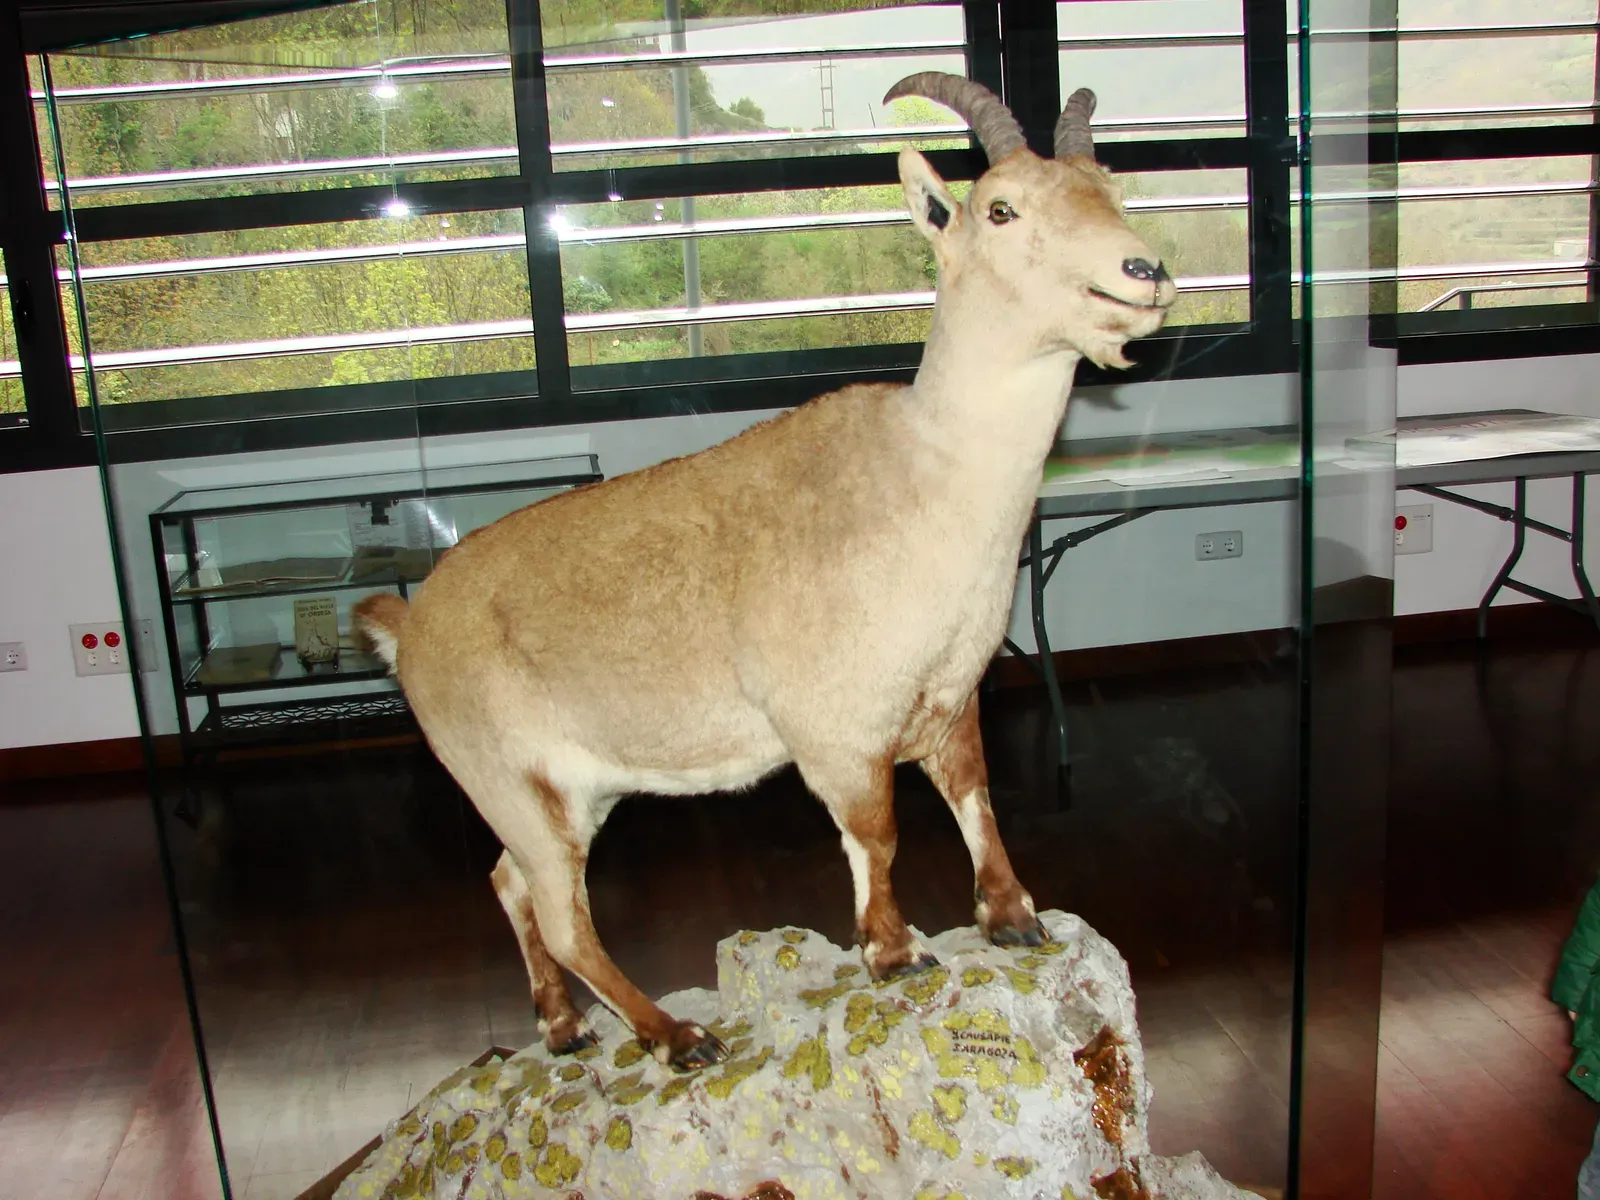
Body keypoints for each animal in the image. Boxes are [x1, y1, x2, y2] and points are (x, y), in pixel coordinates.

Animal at [354, 72, 1175, 1072]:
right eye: (1001, 208)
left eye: (1111, 188)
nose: (1143, 272)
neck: (927, 481)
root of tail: (409, 628)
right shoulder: (834, 728)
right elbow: (877, 832)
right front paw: (892, 950)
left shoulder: (951, 695)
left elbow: (975, 798)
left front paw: (1014, 918)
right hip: (504, 779)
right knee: (559, 912)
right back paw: (675, 1034)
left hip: (571, 794)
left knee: (511, 883)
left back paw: (562, 1024)